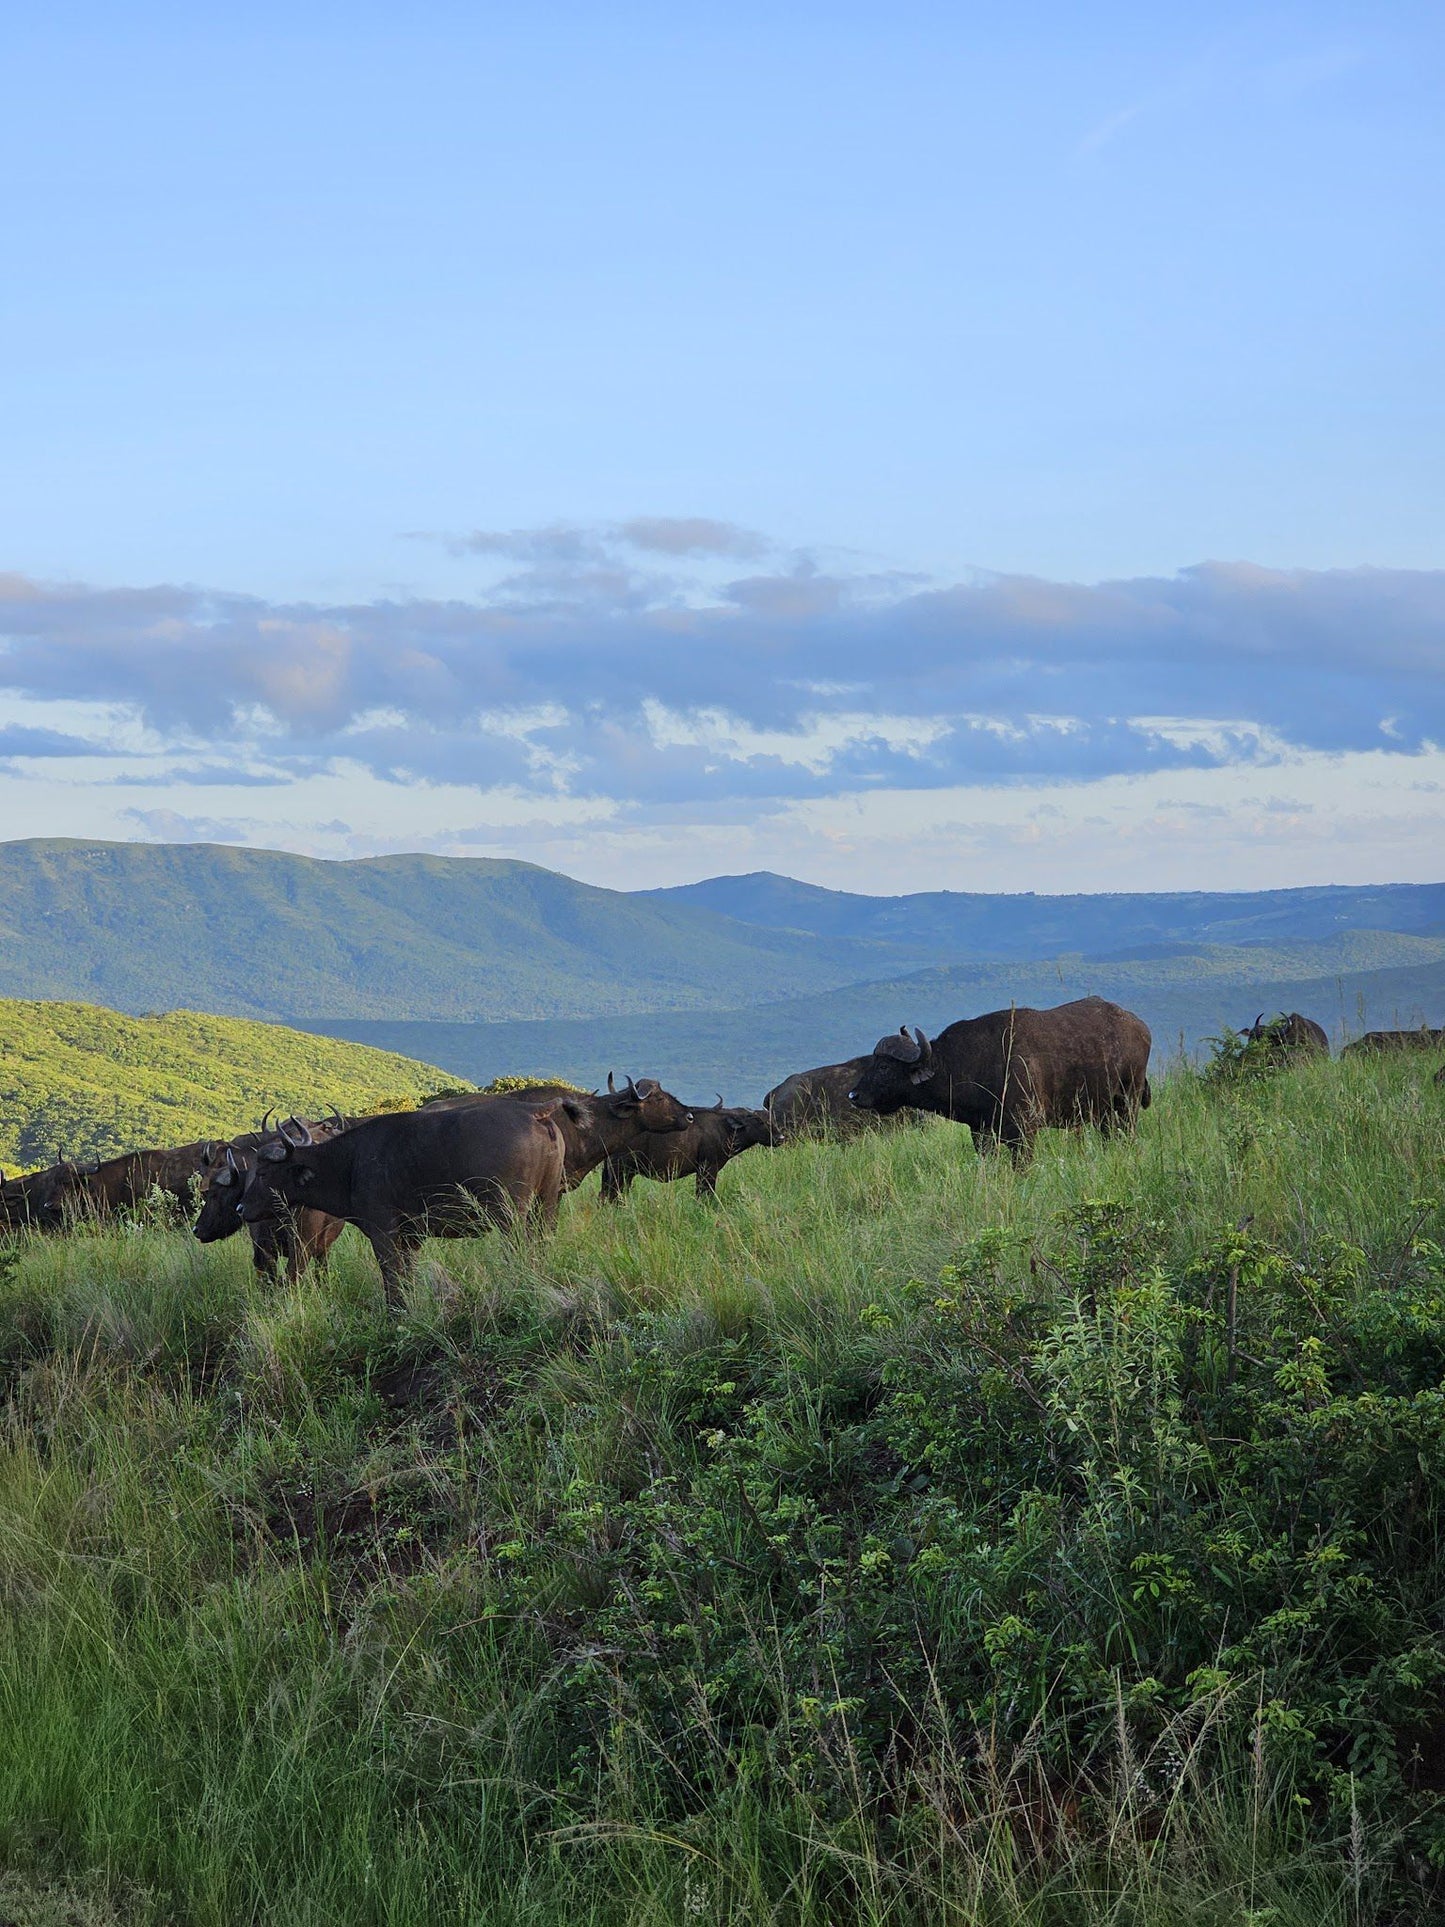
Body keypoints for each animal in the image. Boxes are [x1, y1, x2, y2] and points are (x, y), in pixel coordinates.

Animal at [240, 1094, 570, 1302]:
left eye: (264, 1172)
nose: (241, 1208)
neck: (350, 1162)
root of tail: (532, 1111)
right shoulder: (412, 1238)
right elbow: (407, 1276)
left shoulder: (383, 1232)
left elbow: (391, 1276)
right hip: (546, 1204)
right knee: (542, 1243)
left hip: (509, 1213)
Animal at [601, 1102, 782, 1202]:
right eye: (759, 1120)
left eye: (772, 1119)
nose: (780, 1137)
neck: (724, 1128)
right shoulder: (708, 1168)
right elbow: (705, 1193)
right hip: (620, 1172)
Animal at [847, 994, 1156, 1156]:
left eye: (884, 1067)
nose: (854, 1095)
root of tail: (1139, 1026)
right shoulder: (981, 1133)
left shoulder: (1024, 1131)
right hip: (1104, 1113)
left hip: (1127, 1103)